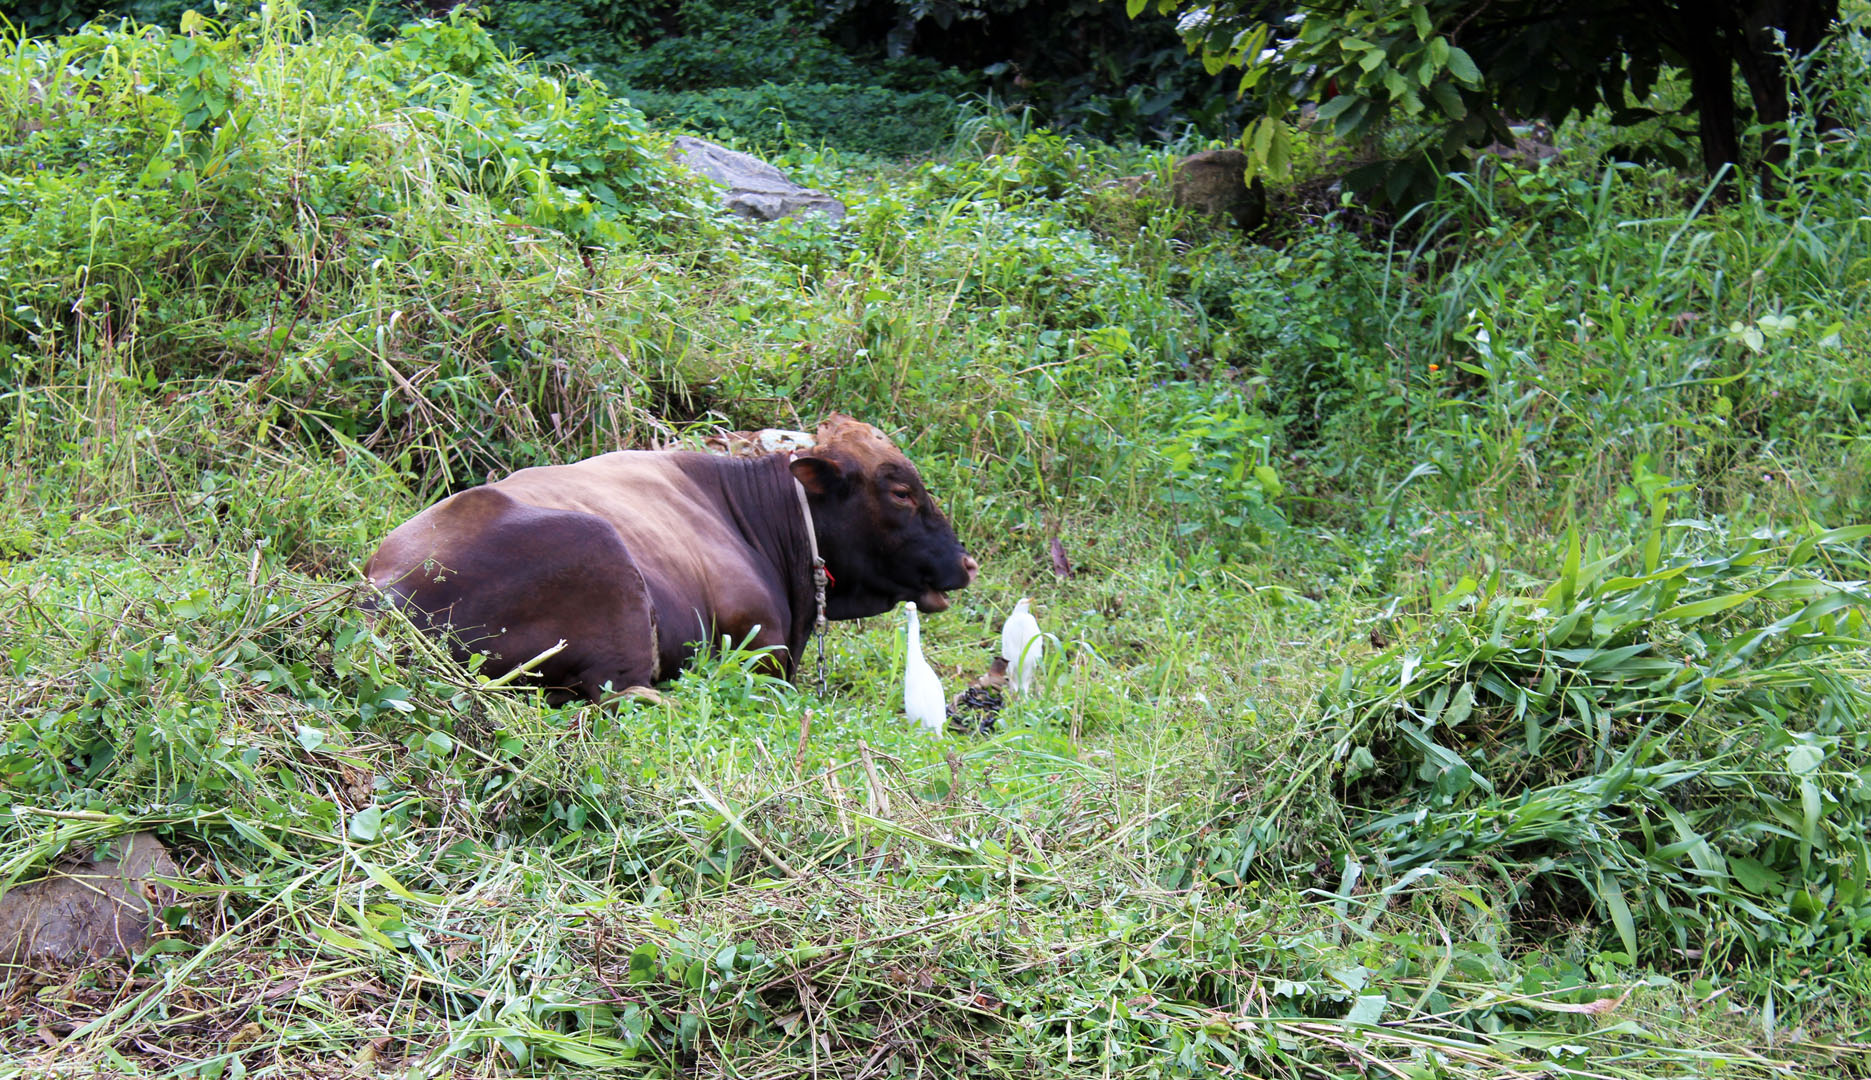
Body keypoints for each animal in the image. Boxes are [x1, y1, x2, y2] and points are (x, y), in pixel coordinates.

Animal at [364, 414, 978, 701]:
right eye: (901, 491)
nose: (967, 563)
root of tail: (384, 591)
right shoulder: (762, 644)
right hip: (604, 562)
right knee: (621, 695)